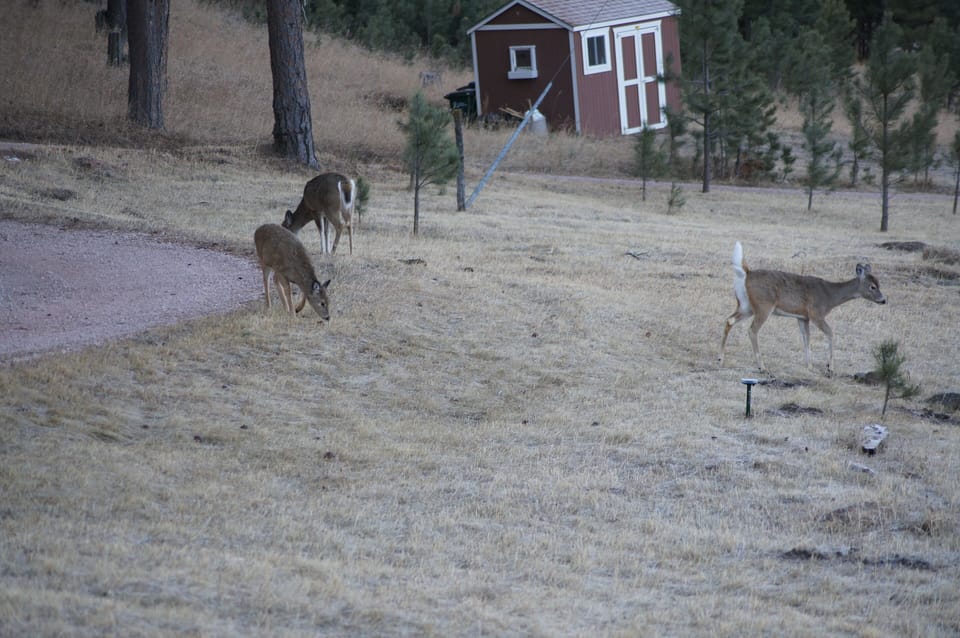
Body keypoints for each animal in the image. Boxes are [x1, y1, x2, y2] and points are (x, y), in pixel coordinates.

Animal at [719, 241, 886, 375]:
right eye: (872, 286)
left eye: (879, 283)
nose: (883, 300)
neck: (829, 296)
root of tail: (747, 273)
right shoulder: (815, 313)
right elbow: (830, 333)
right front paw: (829, 368)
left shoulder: (802, 317)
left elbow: (806, 339)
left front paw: (810, 366)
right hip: (764, 305)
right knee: (752, 330)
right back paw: (762, 367)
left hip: (746, 305)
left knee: (730, 320)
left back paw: (721, 358)